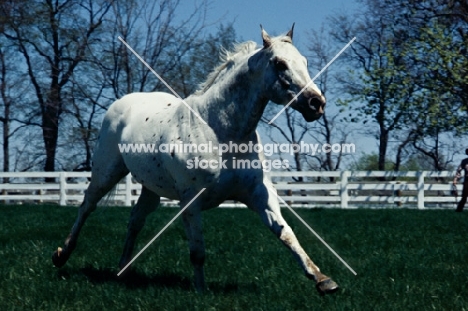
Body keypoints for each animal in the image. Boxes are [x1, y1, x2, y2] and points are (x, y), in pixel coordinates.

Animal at [53, 25, 338, 296]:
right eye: (279, 63)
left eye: (304, 61)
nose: (317, 103)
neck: (221, 132)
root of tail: (122, 103)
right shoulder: (191, 200)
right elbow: (197, 251)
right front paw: (200, 291)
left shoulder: (259, 193)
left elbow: (285, 233)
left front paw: (323, 281)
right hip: (106, 173)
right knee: (86, 207)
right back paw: (61, 256)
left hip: (151, 190)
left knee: (135, 221)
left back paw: (123, 270)